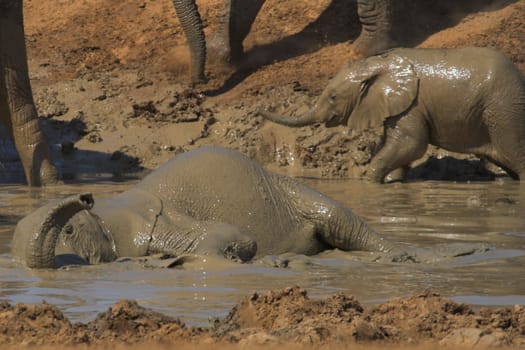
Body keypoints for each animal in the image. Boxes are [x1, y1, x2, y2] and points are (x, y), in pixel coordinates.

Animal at [12, 146, 406, 270]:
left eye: (69, 230)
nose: (84, 195)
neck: (107, 214)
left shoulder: (155, 225)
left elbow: (234, 237)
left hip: (293, 191)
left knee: (339, 220)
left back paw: (400, 257)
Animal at [256, 47, 524, 183]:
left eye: (332, 97)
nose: (259, 110)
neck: (377, 63)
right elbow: (400, 147)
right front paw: (392, 181)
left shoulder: (413, 104)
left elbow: (411, 144)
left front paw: (370, 180)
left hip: (503, 112)